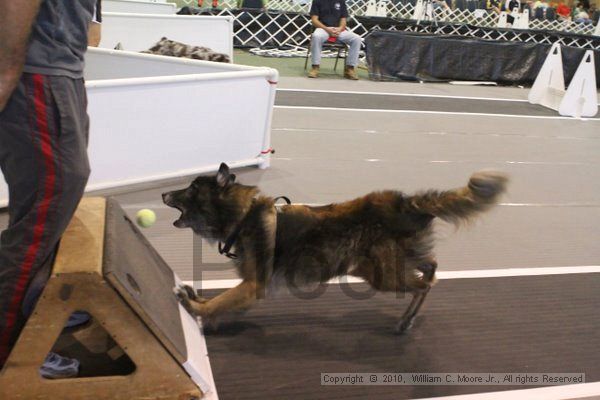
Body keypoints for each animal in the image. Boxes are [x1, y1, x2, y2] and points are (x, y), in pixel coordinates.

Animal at [163, 164, 506, 332]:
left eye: (192, 188)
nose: (165, 193)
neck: (244, 214)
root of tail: (408, 203)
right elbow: (221, 300)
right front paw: (198, 301)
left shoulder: (253, 285)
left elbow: (219, 302)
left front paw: (195, 308)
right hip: (378, 267)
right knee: (430, 266)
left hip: (383, 275)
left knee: (425, 285)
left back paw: (406, 321)